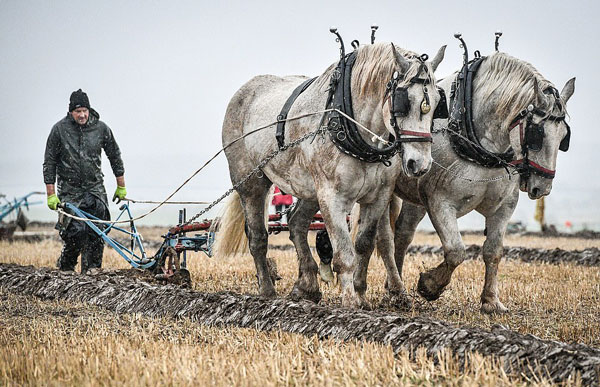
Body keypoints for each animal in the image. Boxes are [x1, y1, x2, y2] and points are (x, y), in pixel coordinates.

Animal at [370, 50, 576, 314]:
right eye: (536, 134)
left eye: (564, 137)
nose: (543, 187)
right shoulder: (439, 202)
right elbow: (456, 251)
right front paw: (430, 285)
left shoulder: (504, 206)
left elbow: (493, 251)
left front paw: (491, 301)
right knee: (384, 239)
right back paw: (394, 289)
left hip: (415, 196)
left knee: (403, 235)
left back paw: (393, 286)